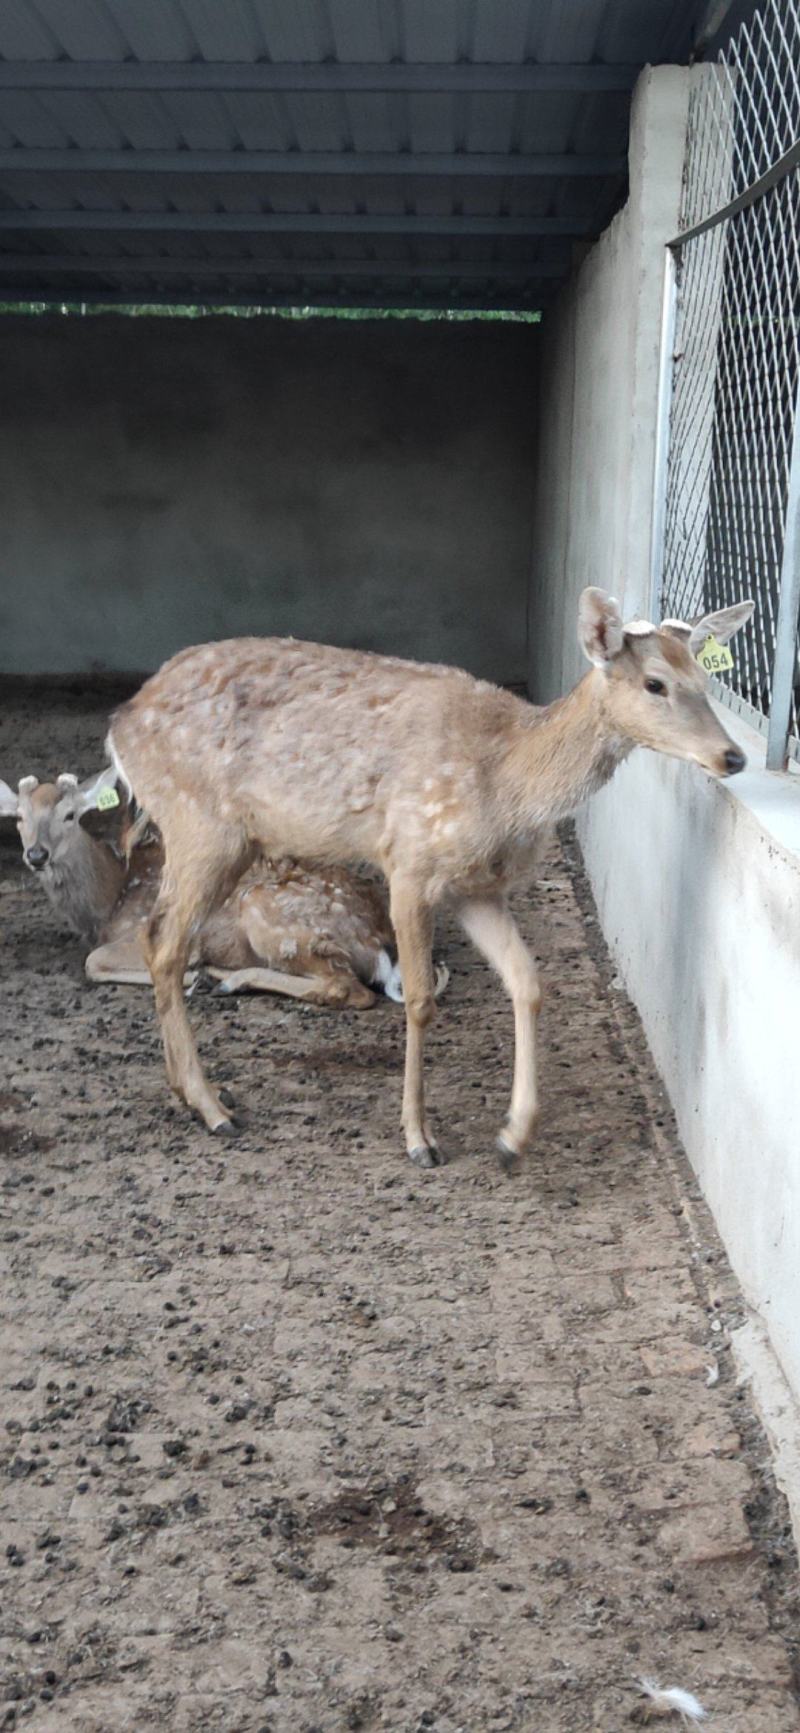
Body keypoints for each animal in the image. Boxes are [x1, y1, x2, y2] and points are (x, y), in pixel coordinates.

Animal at [0, 772, 450, 1009]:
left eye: (70, 815)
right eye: (19, 817)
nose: (36, 854)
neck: (110, 900)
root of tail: (379, 941)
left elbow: (93, 962)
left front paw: (188, 976)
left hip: (273, 915)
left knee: (347, 989)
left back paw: (228, 980)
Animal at [104, 587, 753, 1168]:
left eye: (704, 677)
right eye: (655, 683)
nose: (734, 756)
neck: (508, 785)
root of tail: (119, 726)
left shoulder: (477, 888)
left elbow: (528, 982)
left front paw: (513, 1137)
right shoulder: (410, 863)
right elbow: (418, 999)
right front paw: (420, 1139)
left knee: (159, 939)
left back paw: (189, 1091)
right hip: (201, 825)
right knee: (165, 942)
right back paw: (213, 1108)